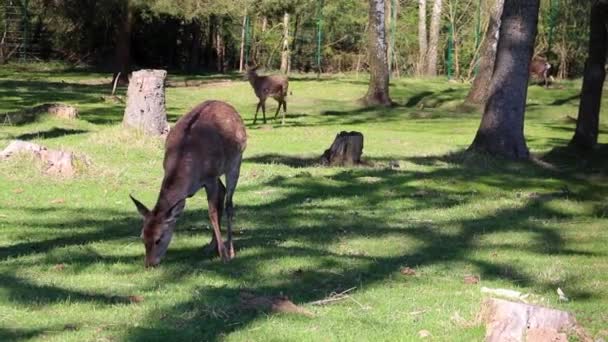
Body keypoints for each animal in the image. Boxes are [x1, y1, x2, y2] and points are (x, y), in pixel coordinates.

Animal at [130, 100, 247, 266]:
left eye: (159, 239)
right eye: (142, 237)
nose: (149, 264)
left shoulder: (210, 177)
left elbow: (212, 212)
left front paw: (224, 255)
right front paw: (217, 249)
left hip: (236, 160)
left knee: (229, 204)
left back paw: (230, 250)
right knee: (223, 192)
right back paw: (211, 246)